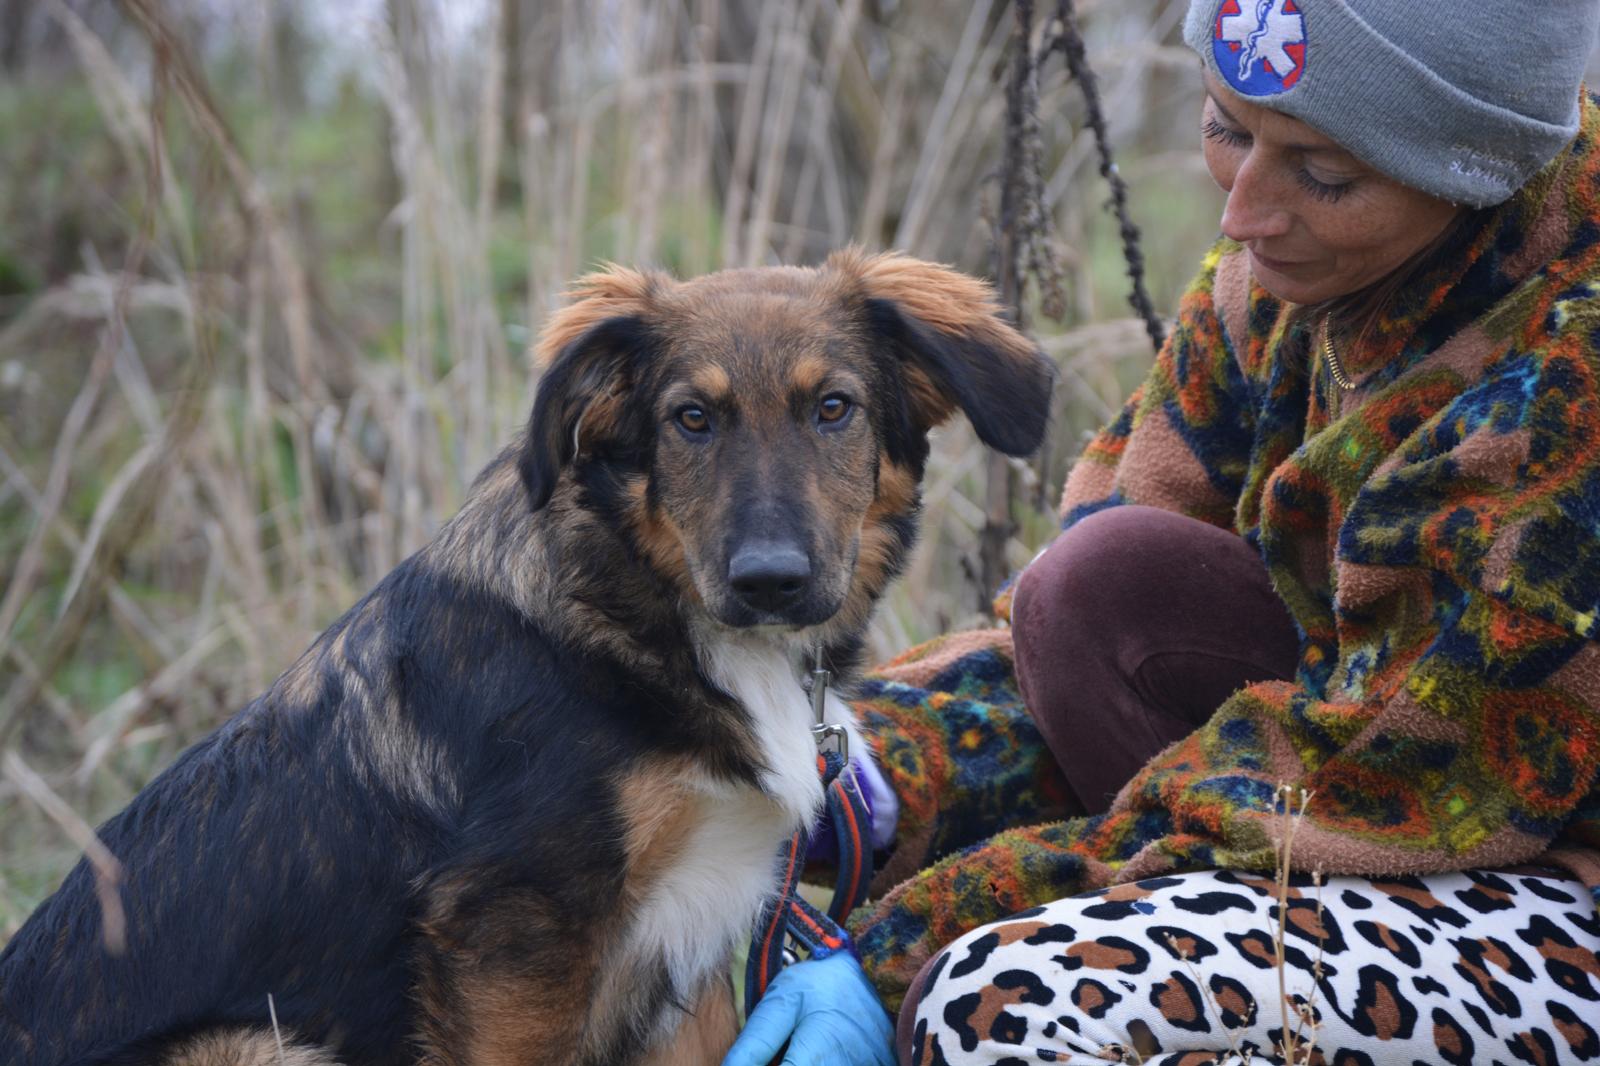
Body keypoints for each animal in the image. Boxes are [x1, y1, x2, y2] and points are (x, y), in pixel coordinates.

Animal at [0, 249, 1053, 1066]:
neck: (654, 613)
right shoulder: (511, 934)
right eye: (692, 420)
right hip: (247, 1043)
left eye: (835, 408)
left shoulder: (695, 949)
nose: (769, 581)